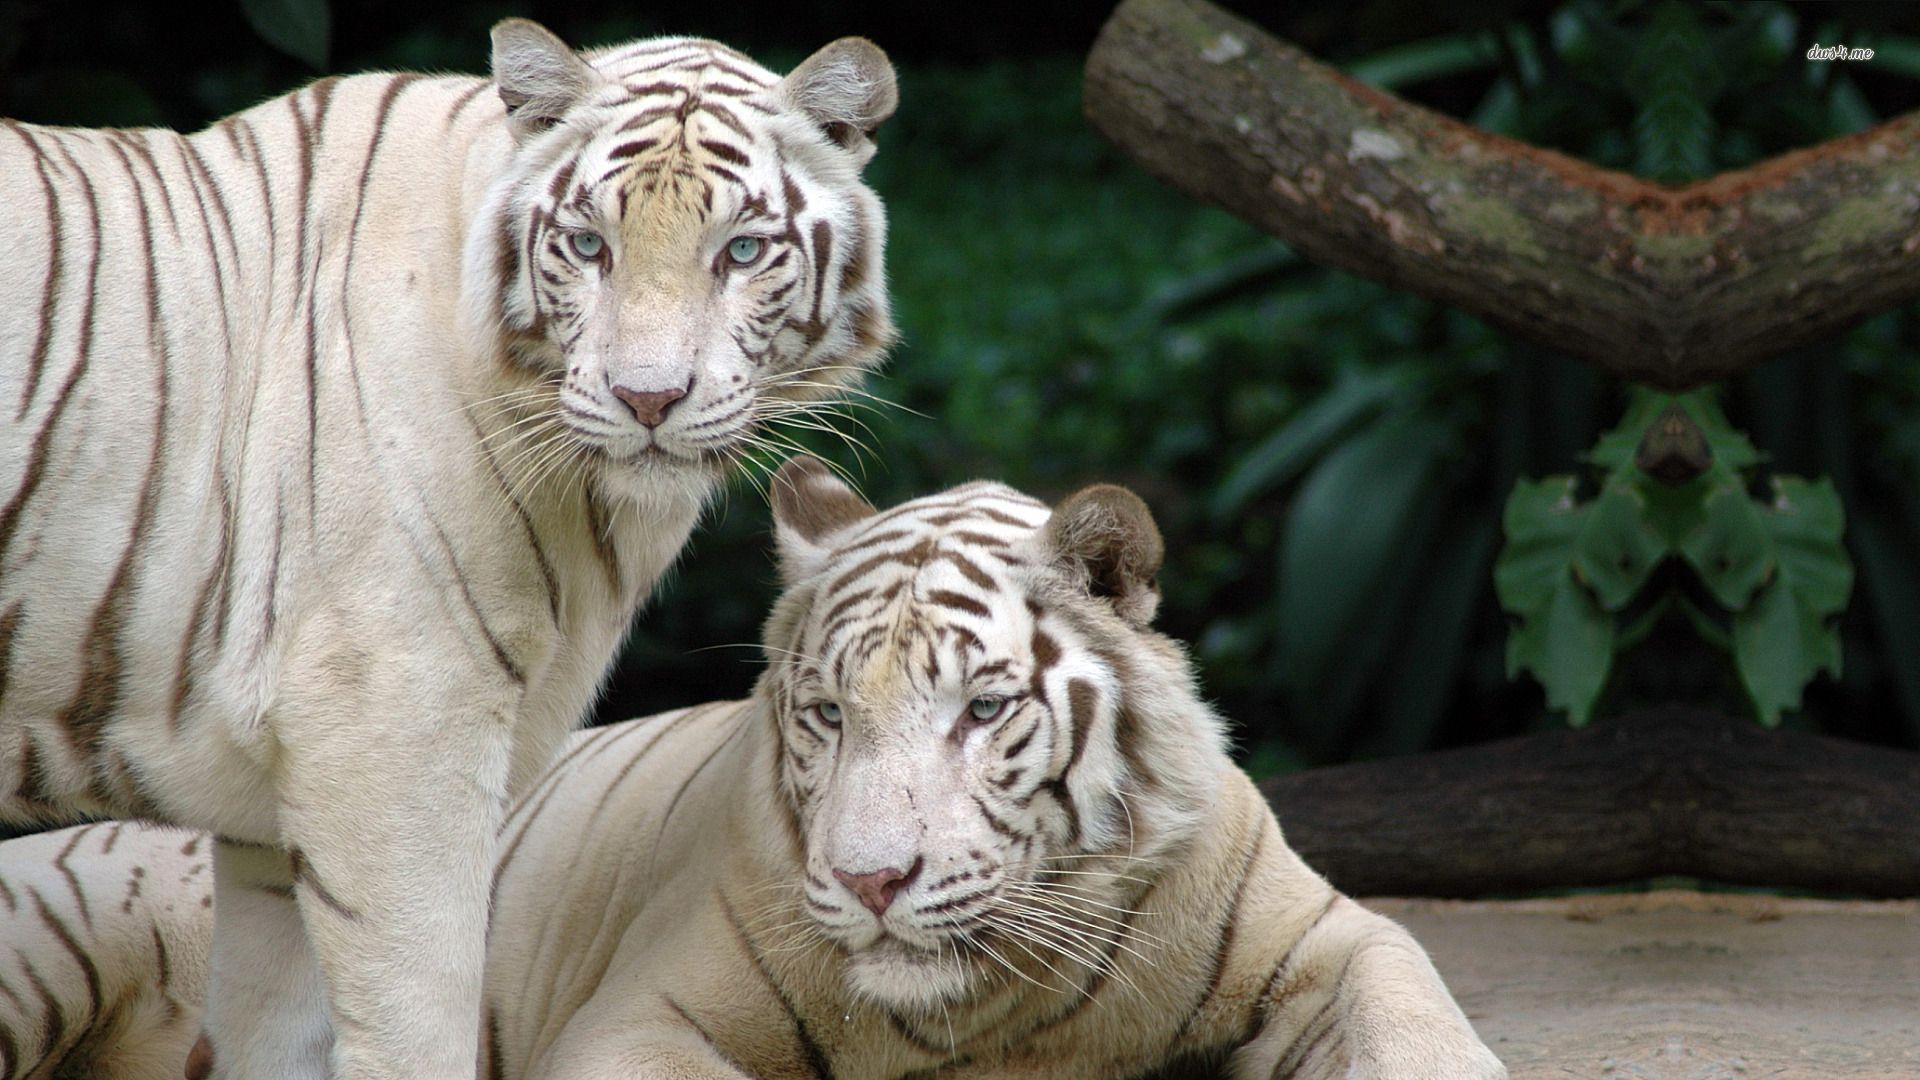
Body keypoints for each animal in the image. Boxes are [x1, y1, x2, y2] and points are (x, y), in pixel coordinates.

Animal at [0, 18, 896, 1079]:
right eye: (588, 245)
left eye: (744, 249)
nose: (647, 400)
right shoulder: (393, 733)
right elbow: (418, 1021)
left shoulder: (267, 829)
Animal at [0, 456, 1504, 1079]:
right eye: (829, 714)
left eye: (984, 709)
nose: (873, 881)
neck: (1008, 1015)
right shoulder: (641, 1020)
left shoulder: (1331, 938)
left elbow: (1415, 1016)